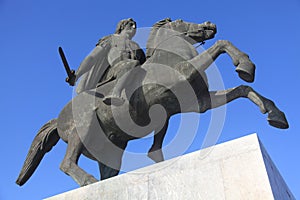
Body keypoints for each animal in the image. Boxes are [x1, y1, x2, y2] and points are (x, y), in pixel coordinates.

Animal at [16, 18, 288, 187]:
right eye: (181, 20)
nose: (210, 25)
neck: (169, 57)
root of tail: (58, 118)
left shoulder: (201, 103)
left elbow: (243, 89)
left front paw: (275, 114)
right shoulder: (186, 73)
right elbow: (222, 46)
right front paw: (245, 66)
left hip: (110, 147)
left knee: (108, 171)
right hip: (82, 131)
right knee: (66, 163)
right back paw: (87, 181)